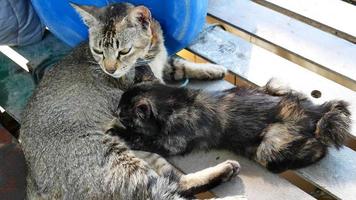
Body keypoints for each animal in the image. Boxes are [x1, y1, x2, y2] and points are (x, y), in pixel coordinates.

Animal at [71, 1, 227, 81]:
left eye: (124, 51)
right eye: (97, 51)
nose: (109, 70)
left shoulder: (164, 59)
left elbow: (181, 65)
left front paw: (212, 69)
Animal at [114, 80, 350, 173]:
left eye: (124, 113)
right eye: (119, 104)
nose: (115, 112)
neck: (176, 103)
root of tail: (314, 110)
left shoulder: (173, 144)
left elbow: (143, 140)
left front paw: (118, 132)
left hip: (271, 146)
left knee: (318, 149)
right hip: (275, 86)